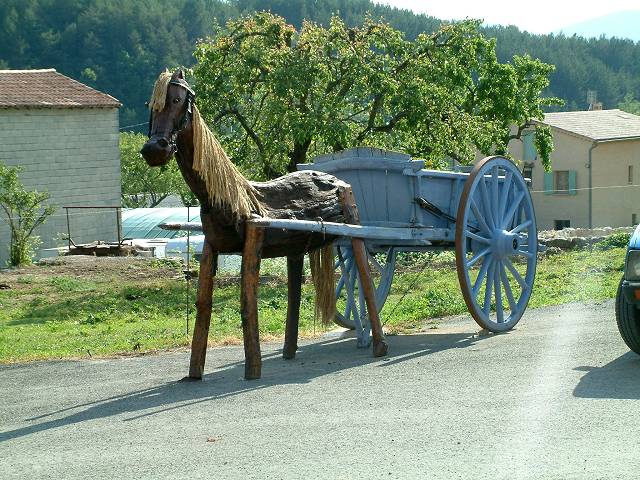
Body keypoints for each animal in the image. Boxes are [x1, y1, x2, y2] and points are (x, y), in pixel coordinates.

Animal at [140, 70, 387, 380]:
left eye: (177, 100)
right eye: (151, 106)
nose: (154, 150)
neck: (232, 199)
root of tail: (336, 180)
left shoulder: (253, 243)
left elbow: (247, 305)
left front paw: (252, 372)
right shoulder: (211, 248)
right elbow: (203, 306)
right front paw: (194, 373)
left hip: (354, 234)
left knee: (365, 280)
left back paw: (379, 346)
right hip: (297, 247)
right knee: (296, 293)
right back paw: (289, 352)